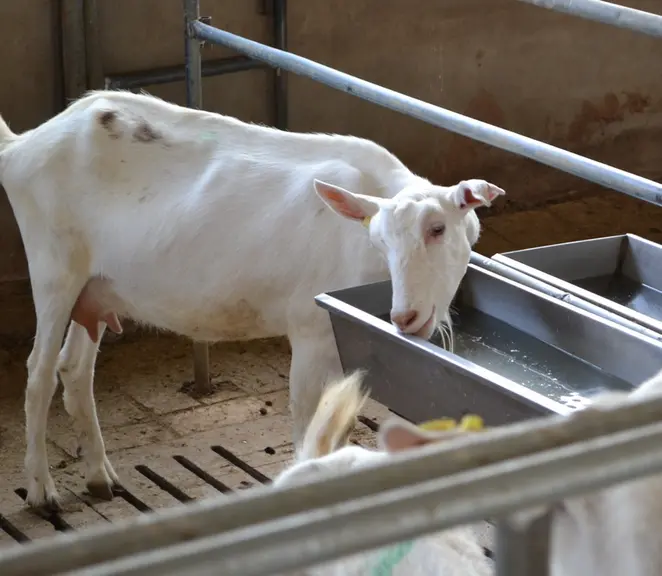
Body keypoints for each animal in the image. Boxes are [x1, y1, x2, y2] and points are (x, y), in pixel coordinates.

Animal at [0, 90, 504, 510]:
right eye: (380, 240)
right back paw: (42, 489)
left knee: (75, 368)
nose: (406, 316)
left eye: (438, 228)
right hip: (53, 267)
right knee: (39, 373)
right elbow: (308, 422)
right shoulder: (310, 328)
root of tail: (21, 148)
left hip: (97, 285)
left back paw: (101, 477)